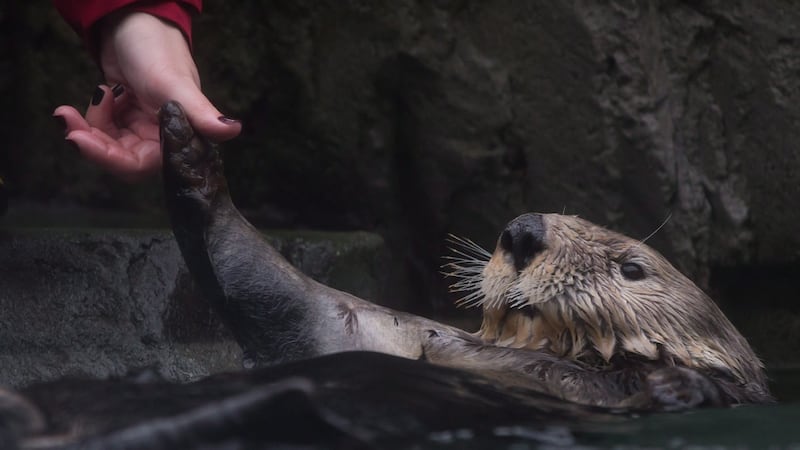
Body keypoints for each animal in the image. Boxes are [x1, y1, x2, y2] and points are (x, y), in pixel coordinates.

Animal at [160, 101, 771, 411]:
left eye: (631, 268)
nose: (523, 231)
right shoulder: (373, 331)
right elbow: (276, 293)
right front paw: (186, 143)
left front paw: (676, 387)